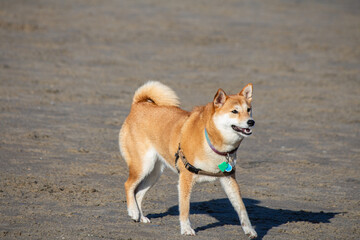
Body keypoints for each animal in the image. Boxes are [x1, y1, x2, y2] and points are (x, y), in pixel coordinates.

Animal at [119, 81, 258, 238]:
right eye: (234, 111)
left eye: (248, 110)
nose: (251, 122)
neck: (210, 140)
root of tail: (138, 105)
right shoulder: (186, 178)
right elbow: (185, 207)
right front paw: (186, 229)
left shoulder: (229, 179)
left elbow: (241, 208)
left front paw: (250, 230)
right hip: (143, 166)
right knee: (128, 185)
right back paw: (133, 211)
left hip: (154, 173)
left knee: (138, 193)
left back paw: (141, 216)